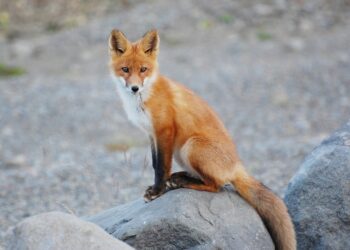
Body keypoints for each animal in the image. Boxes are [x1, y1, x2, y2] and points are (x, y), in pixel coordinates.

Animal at [108, 29, 296, 250]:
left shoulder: (165, 130)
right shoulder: (151, 134)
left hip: (191, 147)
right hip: (182, 153)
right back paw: (180, 177)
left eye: (143, 69)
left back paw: (183, 182)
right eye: (125, 69)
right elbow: (155, 164)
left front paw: (157, 191)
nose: (135, 88)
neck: (144, 99)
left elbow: (161, 167)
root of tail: (237, 165)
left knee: (217, 186)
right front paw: (157, 187)